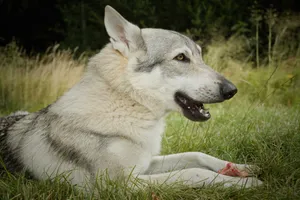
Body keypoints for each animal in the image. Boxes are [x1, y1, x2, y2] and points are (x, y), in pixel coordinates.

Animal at [0, 5, 262, 189]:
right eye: (181, 58)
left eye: (200, 56)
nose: (232, 90)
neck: (128, 106)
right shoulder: (122, 184)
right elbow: (195, 173)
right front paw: (246, 183)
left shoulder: (146, 163)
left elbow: (197, 155)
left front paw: (246, 168)